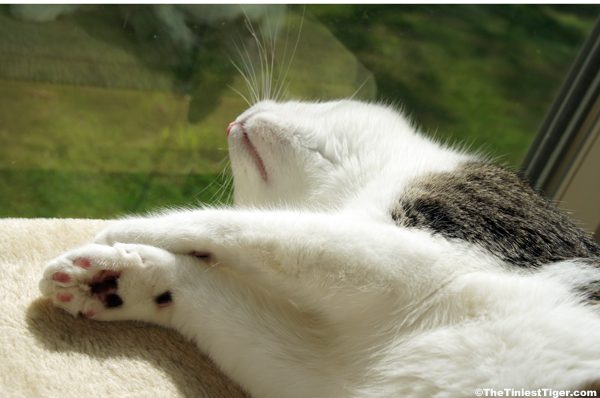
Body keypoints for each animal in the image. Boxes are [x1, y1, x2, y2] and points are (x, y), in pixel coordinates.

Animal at [39, 100, 600, 398]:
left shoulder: (432, 253)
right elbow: (214, 297)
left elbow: (262, 229)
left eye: (316, 100)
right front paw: (111, 278)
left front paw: (125, 228)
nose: (234, 118)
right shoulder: (320, 371)